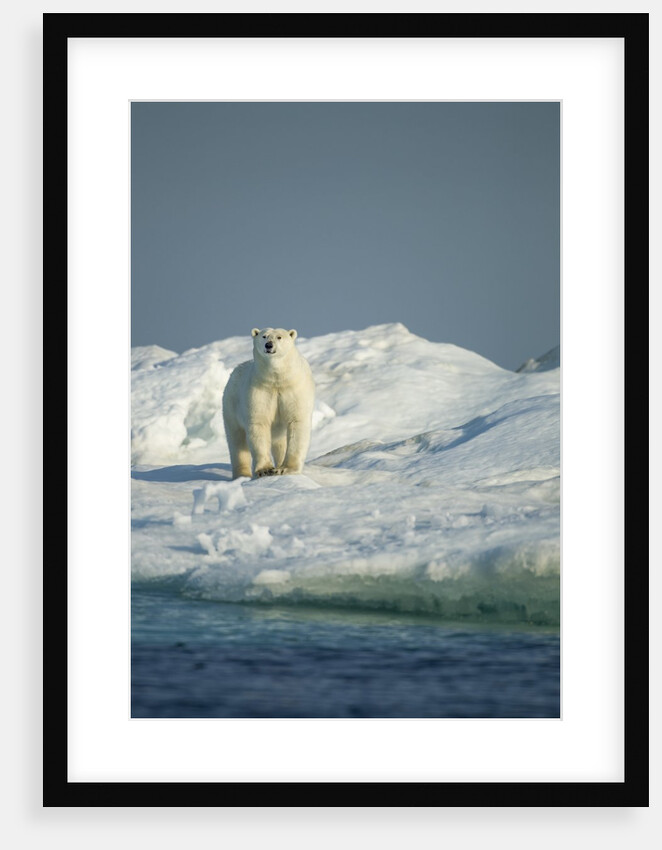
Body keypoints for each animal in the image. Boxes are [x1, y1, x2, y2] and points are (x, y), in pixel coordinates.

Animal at [222, 327, 315, 479]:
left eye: (279, 337)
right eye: (264, 336)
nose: (269, 345)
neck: (277, 379)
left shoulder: (294, 389)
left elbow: (297, 422)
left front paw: (286, 469)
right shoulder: (259, 391)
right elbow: (259, 423)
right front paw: (265, 470)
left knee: (279, 443)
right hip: (231, 406)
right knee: (237, 441)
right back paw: (242, 475)